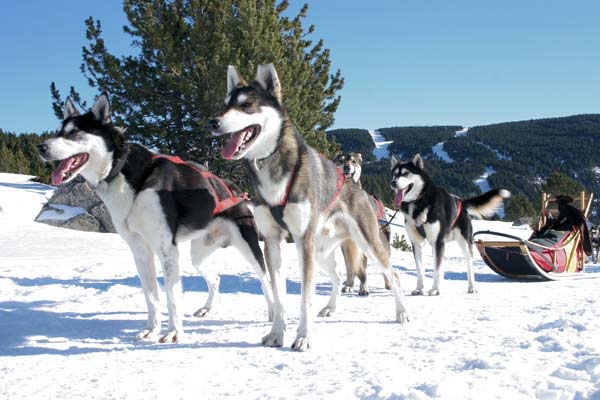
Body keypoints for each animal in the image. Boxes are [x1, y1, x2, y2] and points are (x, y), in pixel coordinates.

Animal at [41, 93, 276, 340]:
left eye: (74, 132)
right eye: (58, 131)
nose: (41, 147)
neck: (125, 172)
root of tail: (234, 190)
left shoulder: (166, 250)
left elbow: (172, 297)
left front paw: (173, 333)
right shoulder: (140, 250)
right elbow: (151, 296)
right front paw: (151, 330)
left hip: (249, 248)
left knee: (265, 282)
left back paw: (272, 314)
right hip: (199, 255)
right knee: (215, 278)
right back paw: (207, 308)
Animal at [209, 64, 410, 352]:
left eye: (247, 105)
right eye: (225, 105)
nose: (213, 122)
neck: (272, 167)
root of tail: (354, 186)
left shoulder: (302, 241)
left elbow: (305, 297)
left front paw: (303, 336)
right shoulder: (272, 242)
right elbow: (280, 296)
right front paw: (277, 334)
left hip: (364, 244)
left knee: (393, 275)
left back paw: (401, 312)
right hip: (321, 251)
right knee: (339, 276)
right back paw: (330, 308)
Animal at [390, 153, 510, 294]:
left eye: (406, 173)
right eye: (394, 174)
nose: (393, 183)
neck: (419, 202)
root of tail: (462, 202)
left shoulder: (437, 241)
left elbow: (436, 269)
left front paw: (435, 289)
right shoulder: (417, 243)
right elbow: (420, 269)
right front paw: (419, 289)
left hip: (463, 242)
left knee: (468, 264)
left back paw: (471, 287)